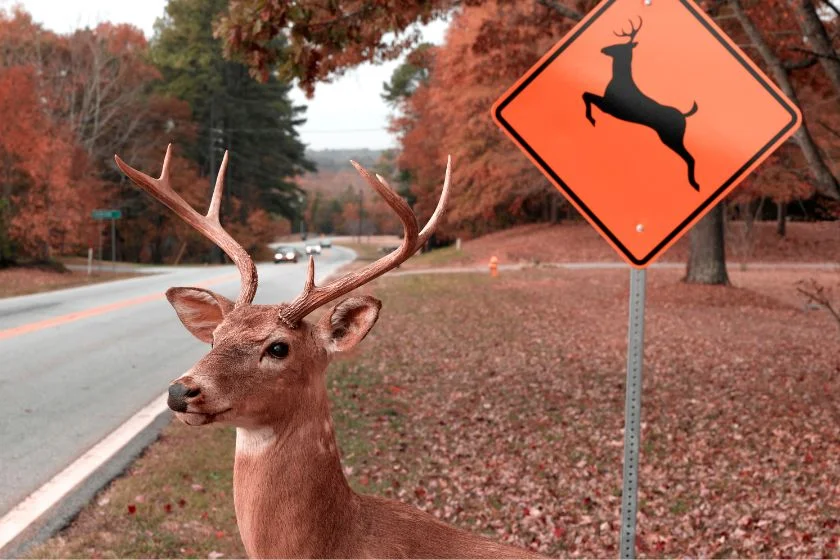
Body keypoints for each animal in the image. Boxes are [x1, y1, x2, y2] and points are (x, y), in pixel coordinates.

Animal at [580, 17, 700, 190]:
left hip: (672, 137)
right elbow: (586, 94)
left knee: (690, 157)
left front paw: (591, 119)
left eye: (619, 46)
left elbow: (586, 95)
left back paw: (694, 184)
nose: (603, 49)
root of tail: (684, 116)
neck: (619, 80)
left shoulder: (609, 106)